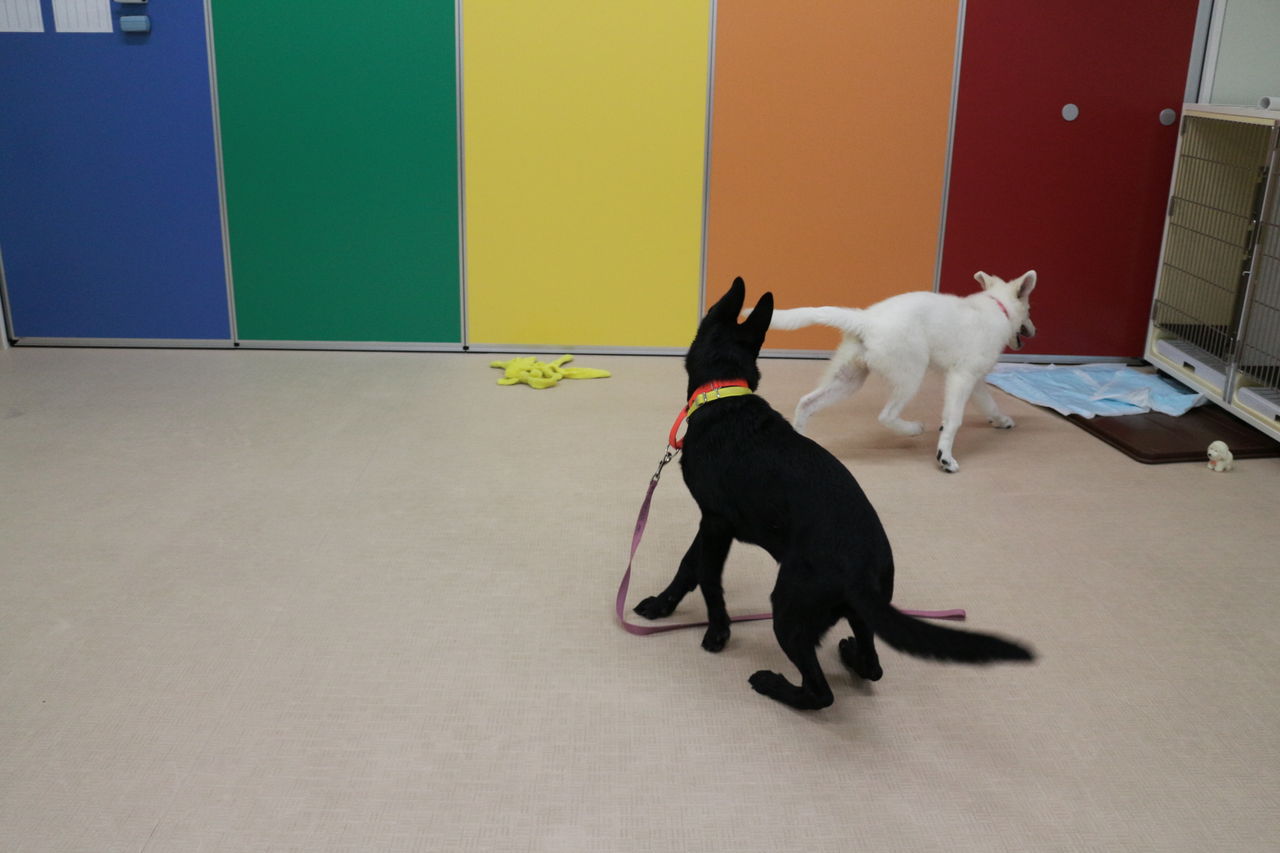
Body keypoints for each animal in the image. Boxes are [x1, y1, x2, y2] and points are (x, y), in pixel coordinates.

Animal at [759, 271, 1037, 472]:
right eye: (1030, 310)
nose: (1034, 330)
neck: (997, 308)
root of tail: (867, 321)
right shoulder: (962, 377)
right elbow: (953, 419)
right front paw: (945, 457)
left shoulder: (974, 381)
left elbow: (990, 404)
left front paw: (1001, 420)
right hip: (911, 375)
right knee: (886, 415)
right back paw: (913, 429)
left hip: (848, 380)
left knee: (807, 402)